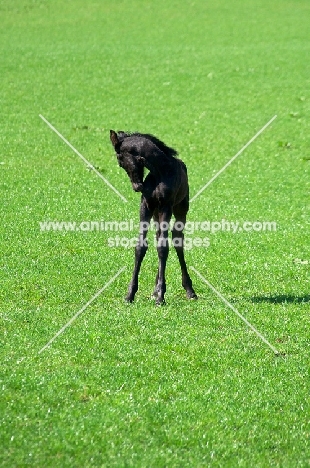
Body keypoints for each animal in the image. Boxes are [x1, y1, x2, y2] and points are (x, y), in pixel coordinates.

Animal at [110, 130, 197, 306]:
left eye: (120, 161)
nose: (137, 187)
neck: (160, 170)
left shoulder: (165, 207)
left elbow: (163, 247)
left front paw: (160, 296)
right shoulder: (146, 206)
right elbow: (141, 246)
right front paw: (130, 294)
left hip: (180, 209)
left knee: (177, 240)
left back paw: (189, 291)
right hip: (156, 214)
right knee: (159, 238)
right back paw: (155, 289)